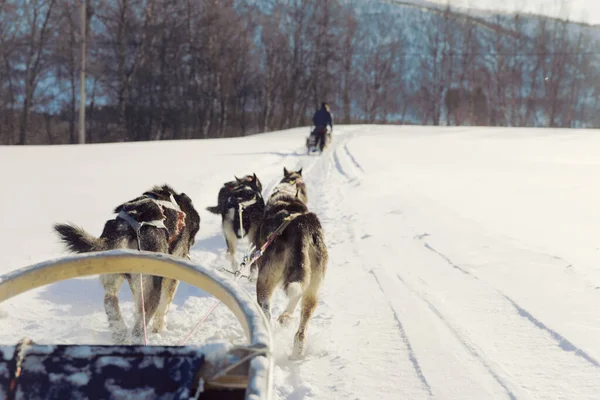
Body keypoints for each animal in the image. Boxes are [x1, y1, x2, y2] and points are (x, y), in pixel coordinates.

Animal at [53, 184, 200, 344]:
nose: (191, 244)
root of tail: (127, 227)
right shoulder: (170, 278)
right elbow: (163, 308)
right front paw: (159, 329)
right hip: (152, 286)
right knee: (139, 326)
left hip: (115, 278)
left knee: (110, 300)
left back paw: (120, 332)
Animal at [253, 167, 328, 358]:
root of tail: (302, 226)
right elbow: (294, 299)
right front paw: (285, 317)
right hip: (313, 285)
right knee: (303, 322)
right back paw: (297, 348)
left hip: (265, 278)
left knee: (266, 309)